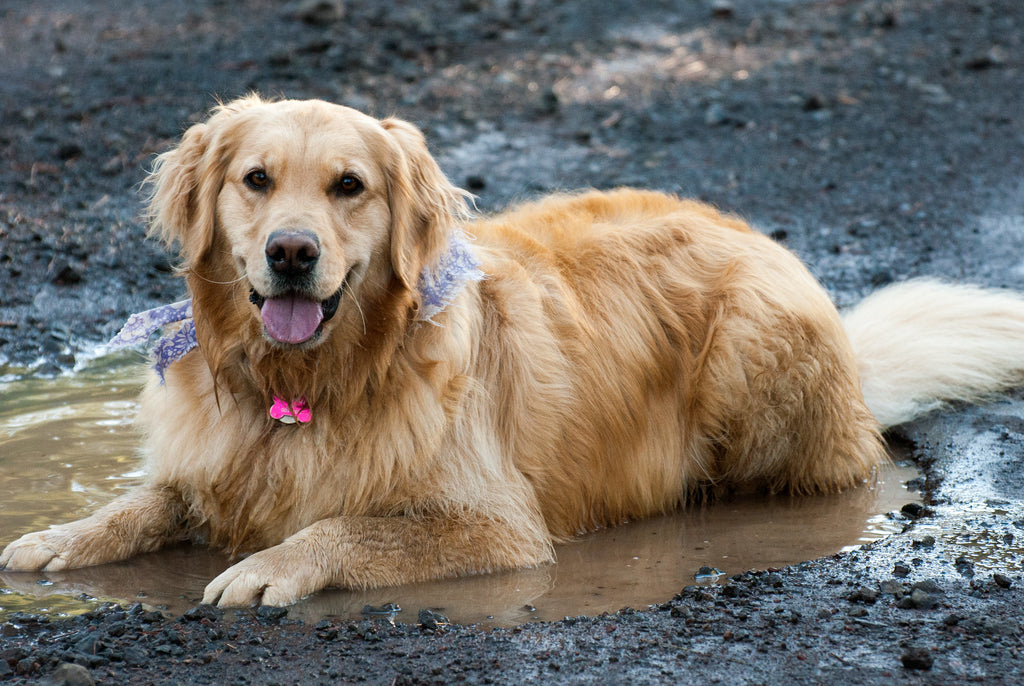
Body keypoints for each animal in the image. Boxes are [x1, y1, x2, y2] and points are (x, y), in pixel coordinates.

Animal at [2, 96, 1024, 606]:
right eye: (256, 180)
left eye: (348, 186)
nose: (292, 253)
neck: (312, 380)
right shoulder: (215, 466)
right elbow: (144, 501)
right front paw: (60, 536)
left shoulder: (497, 526)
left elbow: (343, 527)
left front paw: (265, 568)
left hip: (753, 360)